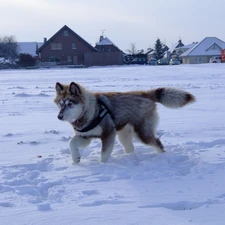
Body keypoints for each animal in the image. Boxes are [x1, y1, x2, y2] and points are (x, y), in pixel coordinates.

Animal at [54, 81, 195, 163]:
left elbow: (104, 154)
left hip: (142, 133)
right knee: (130, 147)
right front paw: (75, 158)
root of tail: (144, 94)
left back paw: (162, 157)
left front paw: (102, 165)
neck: (90, 110)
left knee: (157, 143)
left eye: (69, 104)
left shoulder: (108, 134)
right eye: (60, 104)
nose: (59, 116)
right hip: (123, 134)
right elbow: (71, 143)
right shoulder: (85, 136)